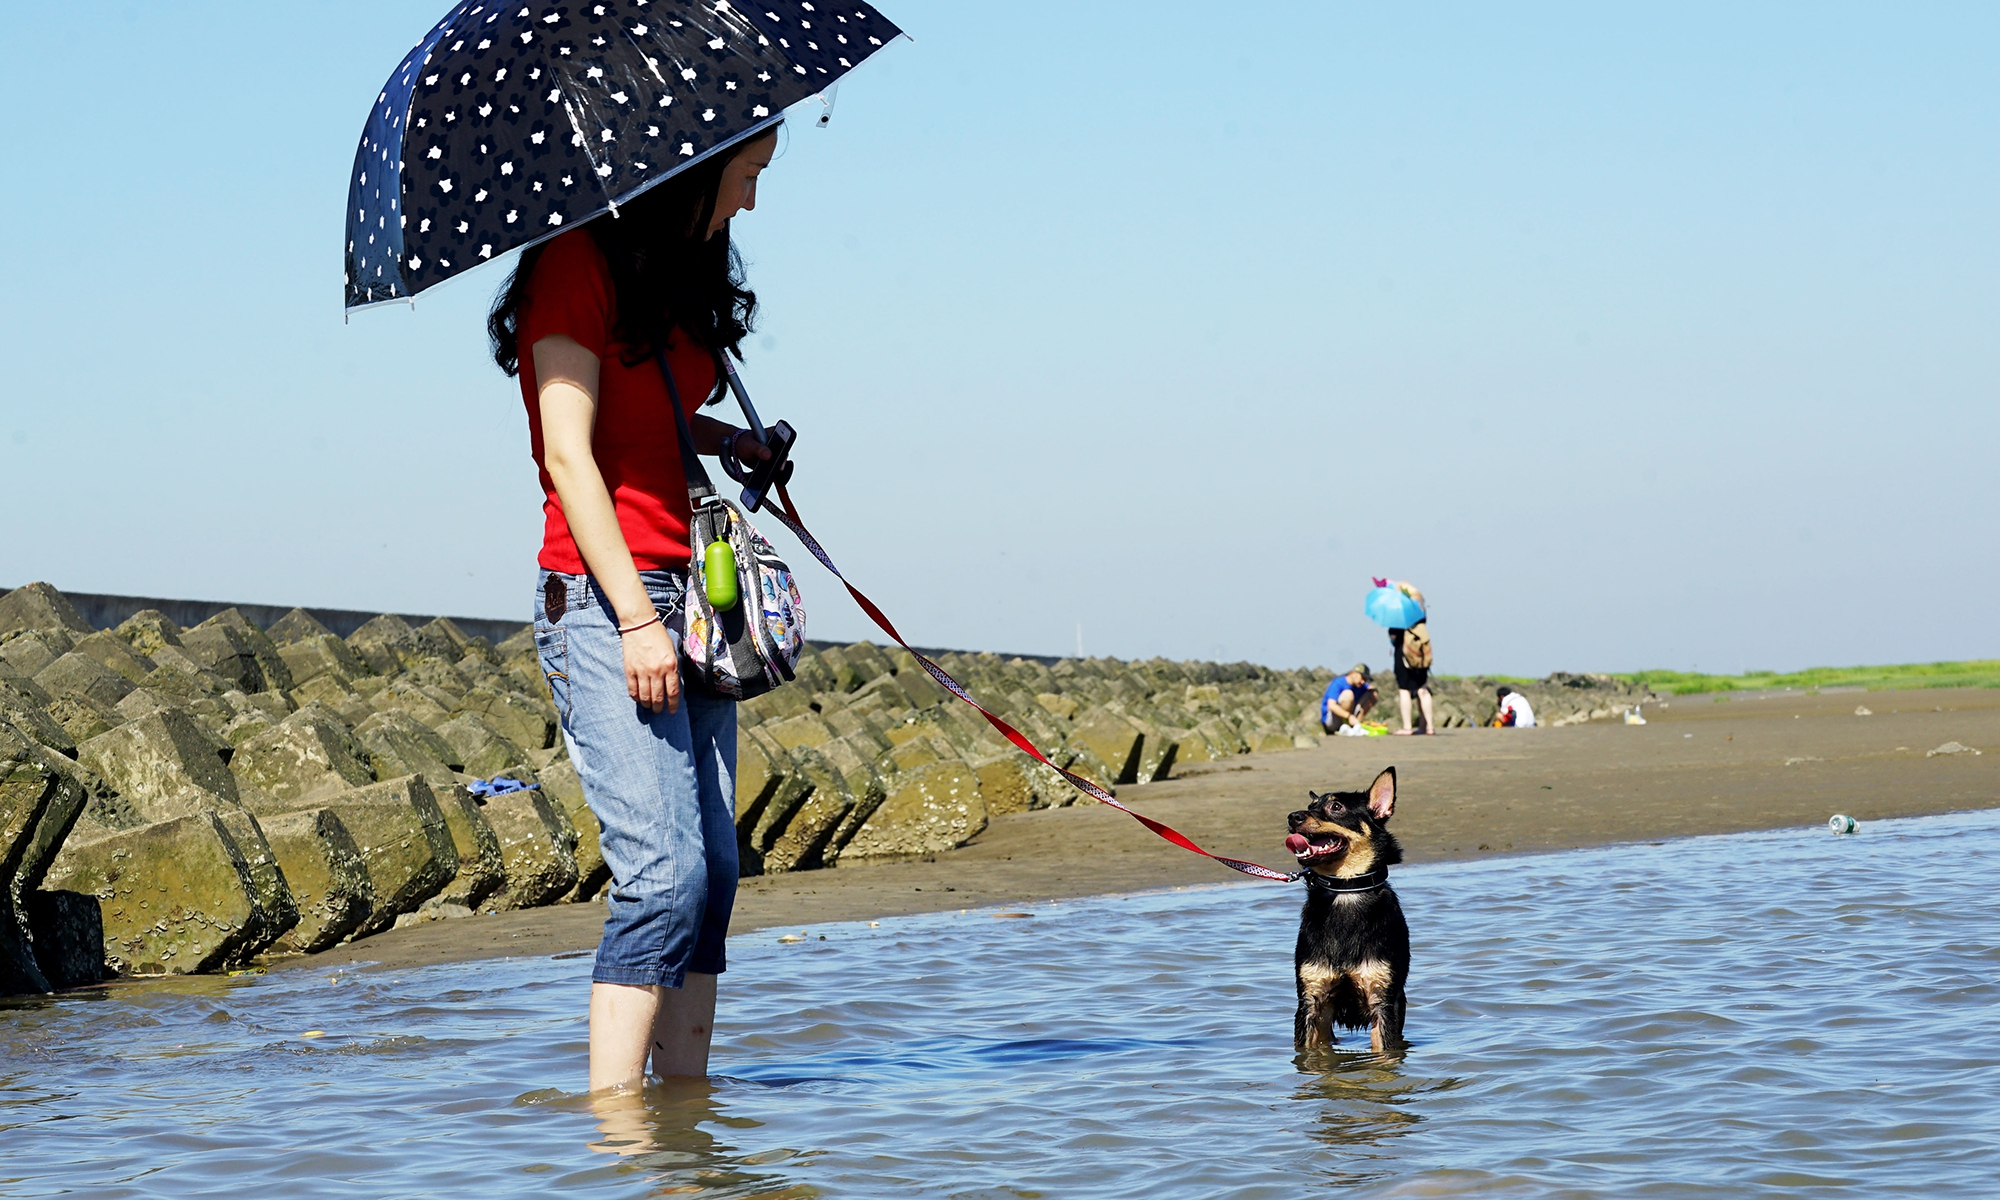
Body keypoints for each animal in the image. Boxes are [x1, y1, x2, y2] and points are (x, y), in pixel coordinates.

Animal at [1286, 766, 1409, 1053]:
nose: (1293, 816)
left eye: (1336, 806)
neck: (1346, 889)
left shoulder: (1383, 1003)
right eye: (1311, 805)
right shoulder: (1310, 1002)